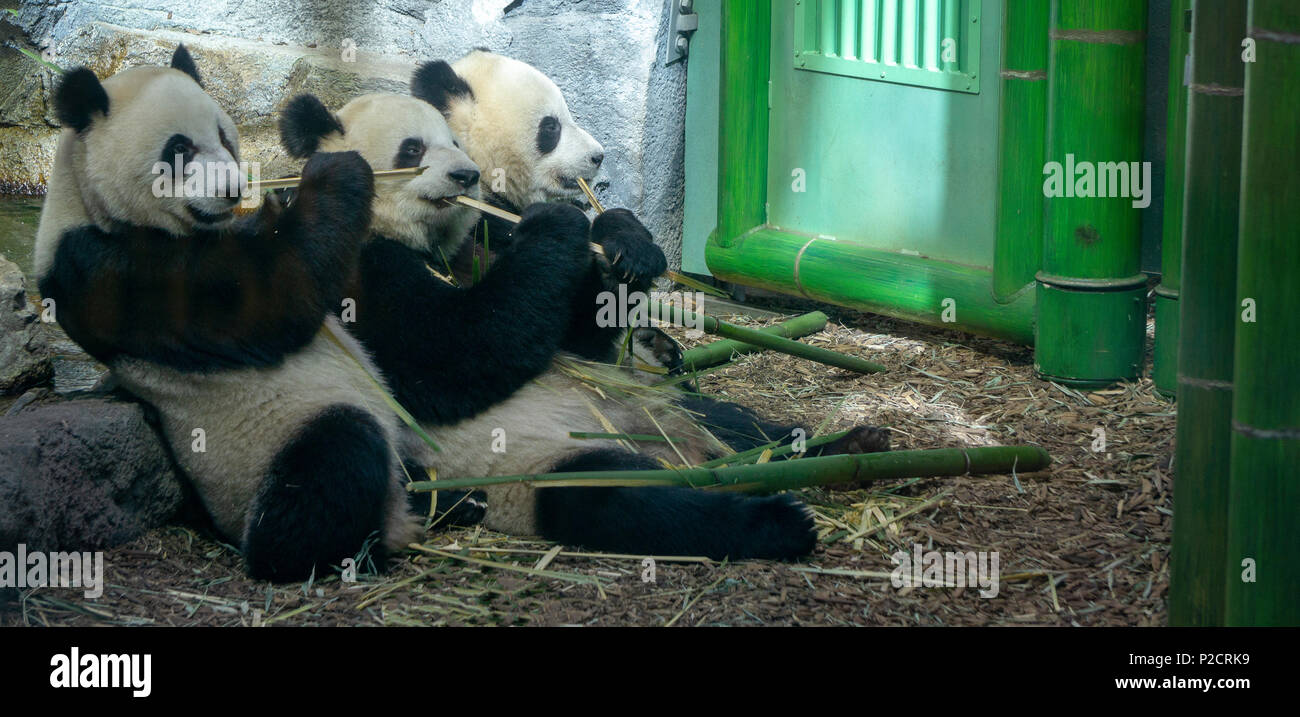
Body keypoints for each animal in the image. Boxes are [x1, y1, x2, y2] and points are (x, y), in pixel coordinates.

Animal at [33, 46, 423, 582]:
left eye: (223, 136)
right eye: (179, 149)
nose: (234, 189)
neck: (82, 204)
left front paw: (281, 199)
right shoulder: (102, 268)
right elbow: (271, 295)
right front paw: (335, 172)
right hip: (266, 452)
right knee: (334, 460)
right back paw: (334, 549)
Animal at [279, 90, 825, 560]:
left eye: (456, 141)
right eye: (412, 148)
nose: (467, 175)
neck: (428, 243)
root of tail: (668, 448)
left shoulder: (480, 241)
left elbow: (576, 338)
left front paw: (622, 241)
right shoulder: (356, 270)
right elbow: (449, 354)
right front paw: (556, 222)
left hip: (663, 407)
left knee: (738, 424)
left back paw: (822, 448)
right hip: (536, 469)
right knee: (628, 502)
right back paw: (776, 522)